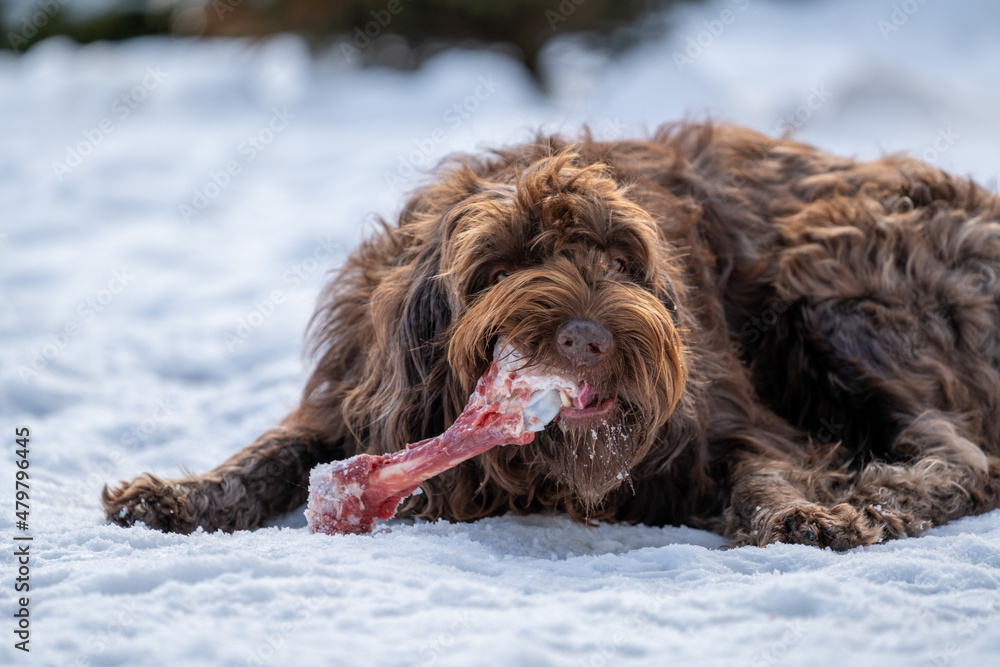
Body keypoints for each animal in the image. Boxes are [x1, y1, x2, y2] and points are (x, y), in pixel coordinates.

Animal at [101, 122, 1000, 552]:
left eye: (620, 259)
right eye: (499, 267)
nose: (587, 339)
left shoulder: (725, 416)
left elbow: (764, 470)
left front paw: (799, 514)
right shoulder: (360, 395)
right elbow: (274, 451)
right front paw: (178, 494)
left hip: (836, 293)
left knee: (962, 457)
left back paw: (881, 493)